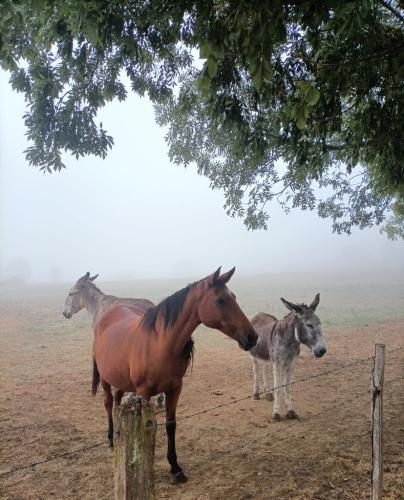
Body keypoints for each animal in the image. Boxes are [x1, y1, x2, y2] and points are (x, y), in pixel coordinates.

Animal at [92, 270, 256, 484]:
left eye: (234, 297)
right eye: (221, 300)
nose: (252, 337)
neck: (160, 344)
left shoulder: (175, 389)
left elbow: (171, 426)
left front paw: (175, 468)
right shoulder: (143, 392)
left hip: (120, 379)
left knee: (117, 400)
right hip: (105, 379)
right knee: (108, 403)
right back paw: (111, 439)